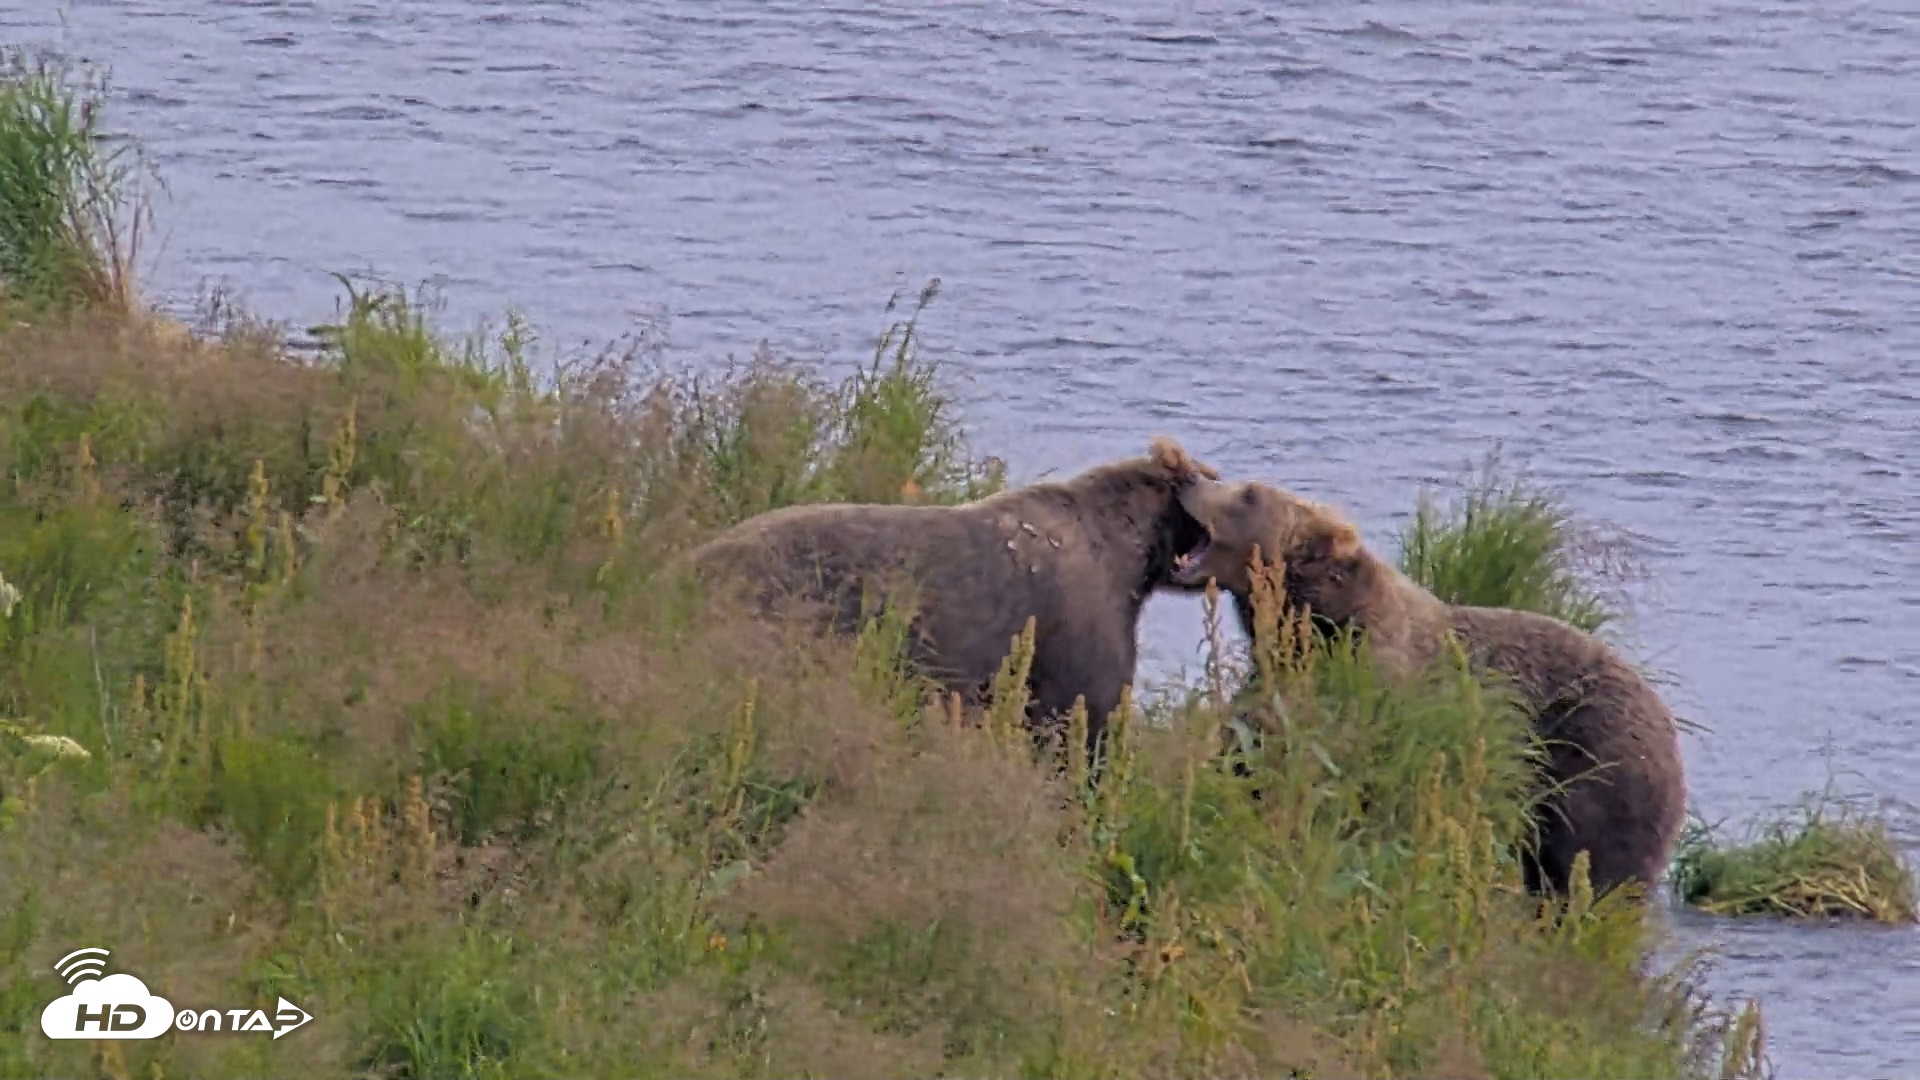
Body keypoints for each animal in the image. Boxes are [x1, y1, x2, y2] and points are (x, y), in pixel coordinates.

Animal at [1163, 473, 1687, 900]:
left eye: (1249, 493)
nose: (1187, 478)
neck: (1318, 621)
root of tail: (1670, 728)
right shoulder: (1281, 674)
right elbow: (1251, 745)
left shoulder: (1377, 680)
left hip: (1600, 768)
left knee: (1597, 869)